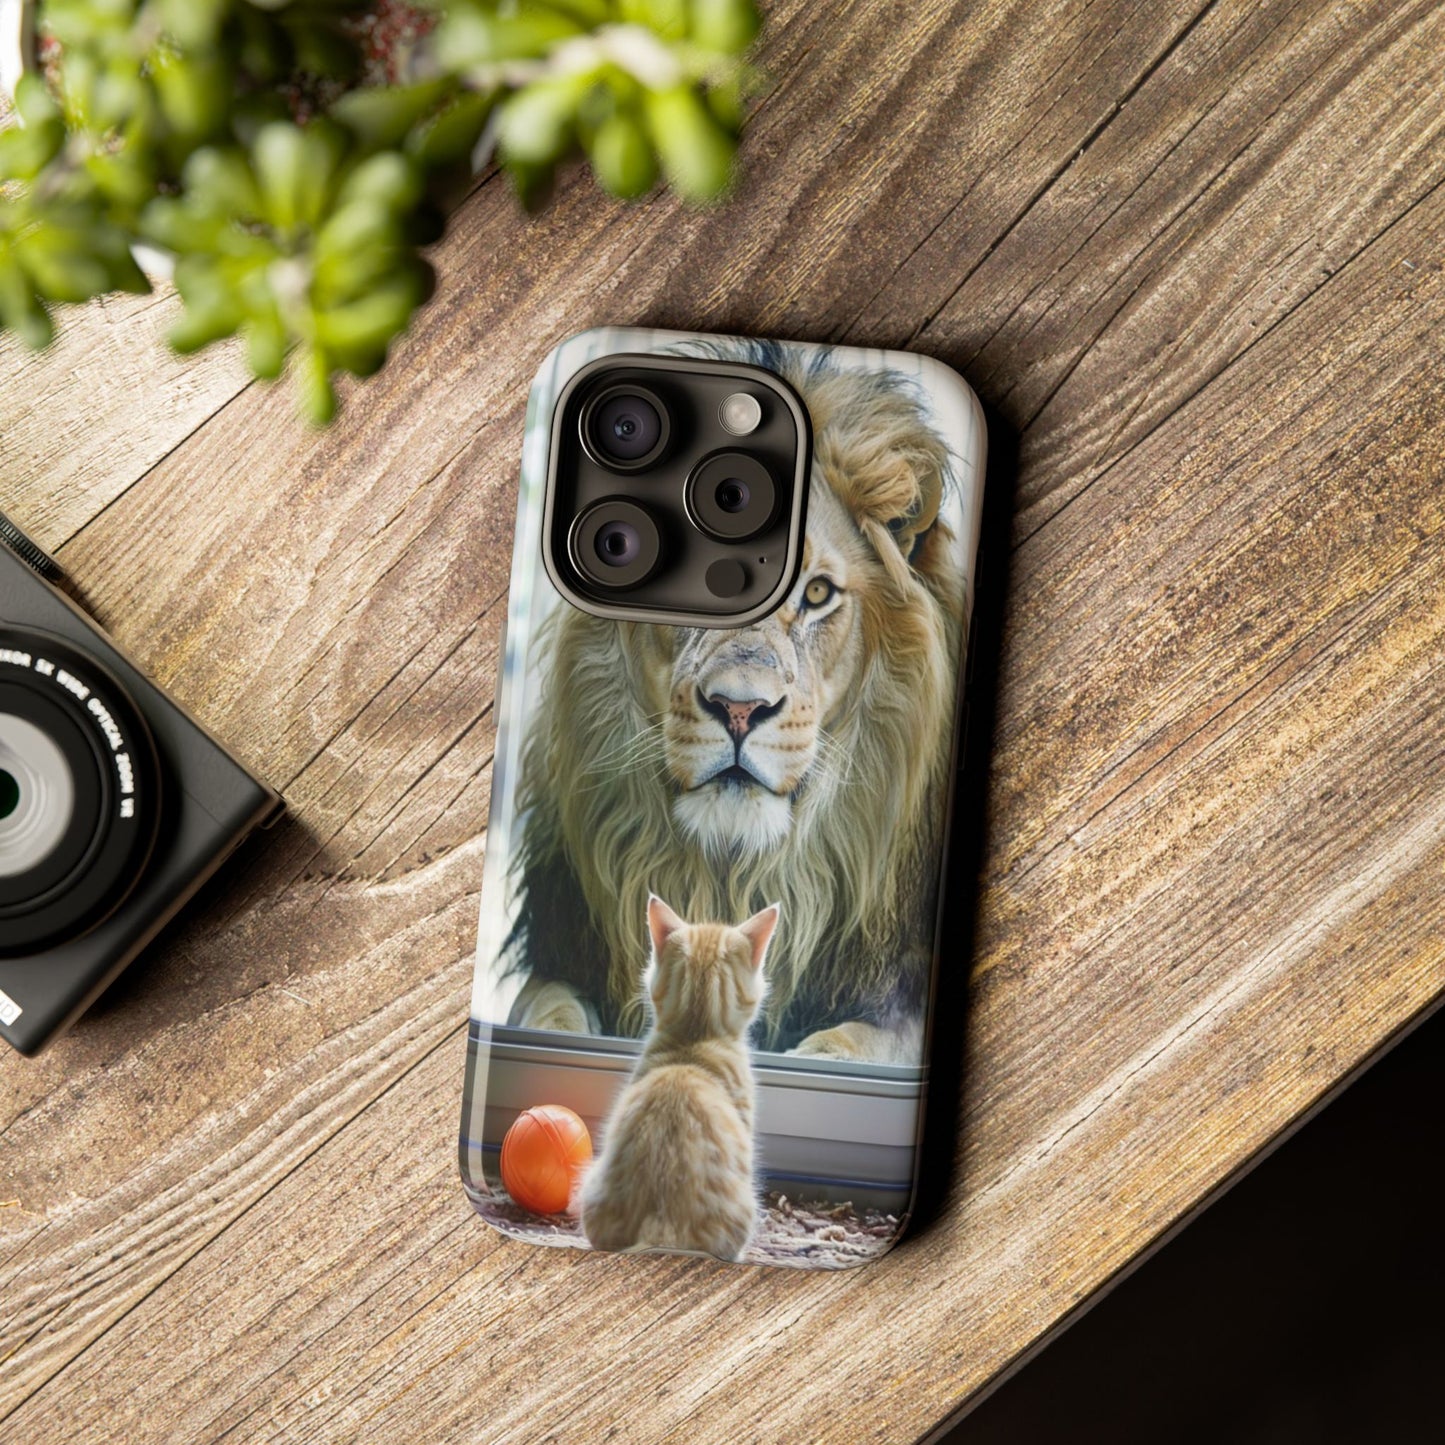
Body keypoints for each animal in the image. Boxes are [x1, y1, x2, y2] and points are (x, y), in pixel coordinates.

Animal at [503, 344, 966, 1062]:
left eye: (817, 594)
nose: (739, 710)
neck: (735, 873)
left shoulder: (900, 991)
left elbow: (858, 1043)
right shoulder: (564, 959)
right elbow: (547, 1014)